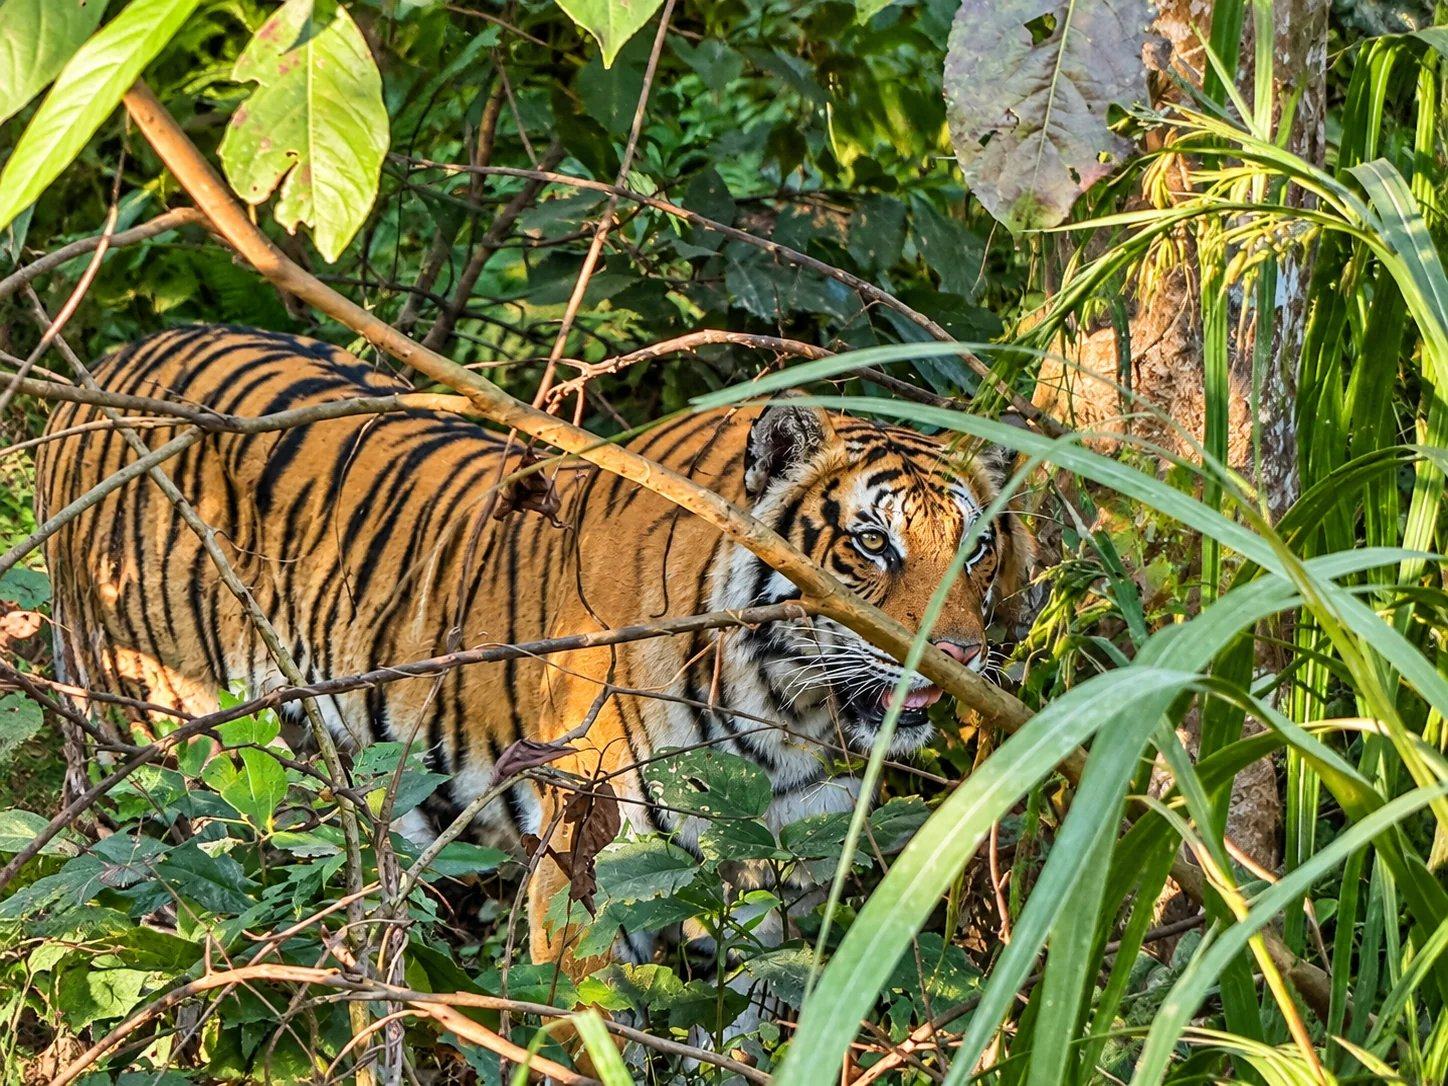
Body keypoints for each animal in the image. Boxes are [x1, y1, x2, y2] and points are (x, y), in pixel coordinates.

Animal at [35, 325, 1032, 998]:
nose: (961, 653)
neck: (788, 716)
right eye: (870, 543)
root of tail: (98, 372)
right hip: (162, 749)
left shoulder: (791, 880)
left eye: (977, 546)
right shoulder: (594, 873)